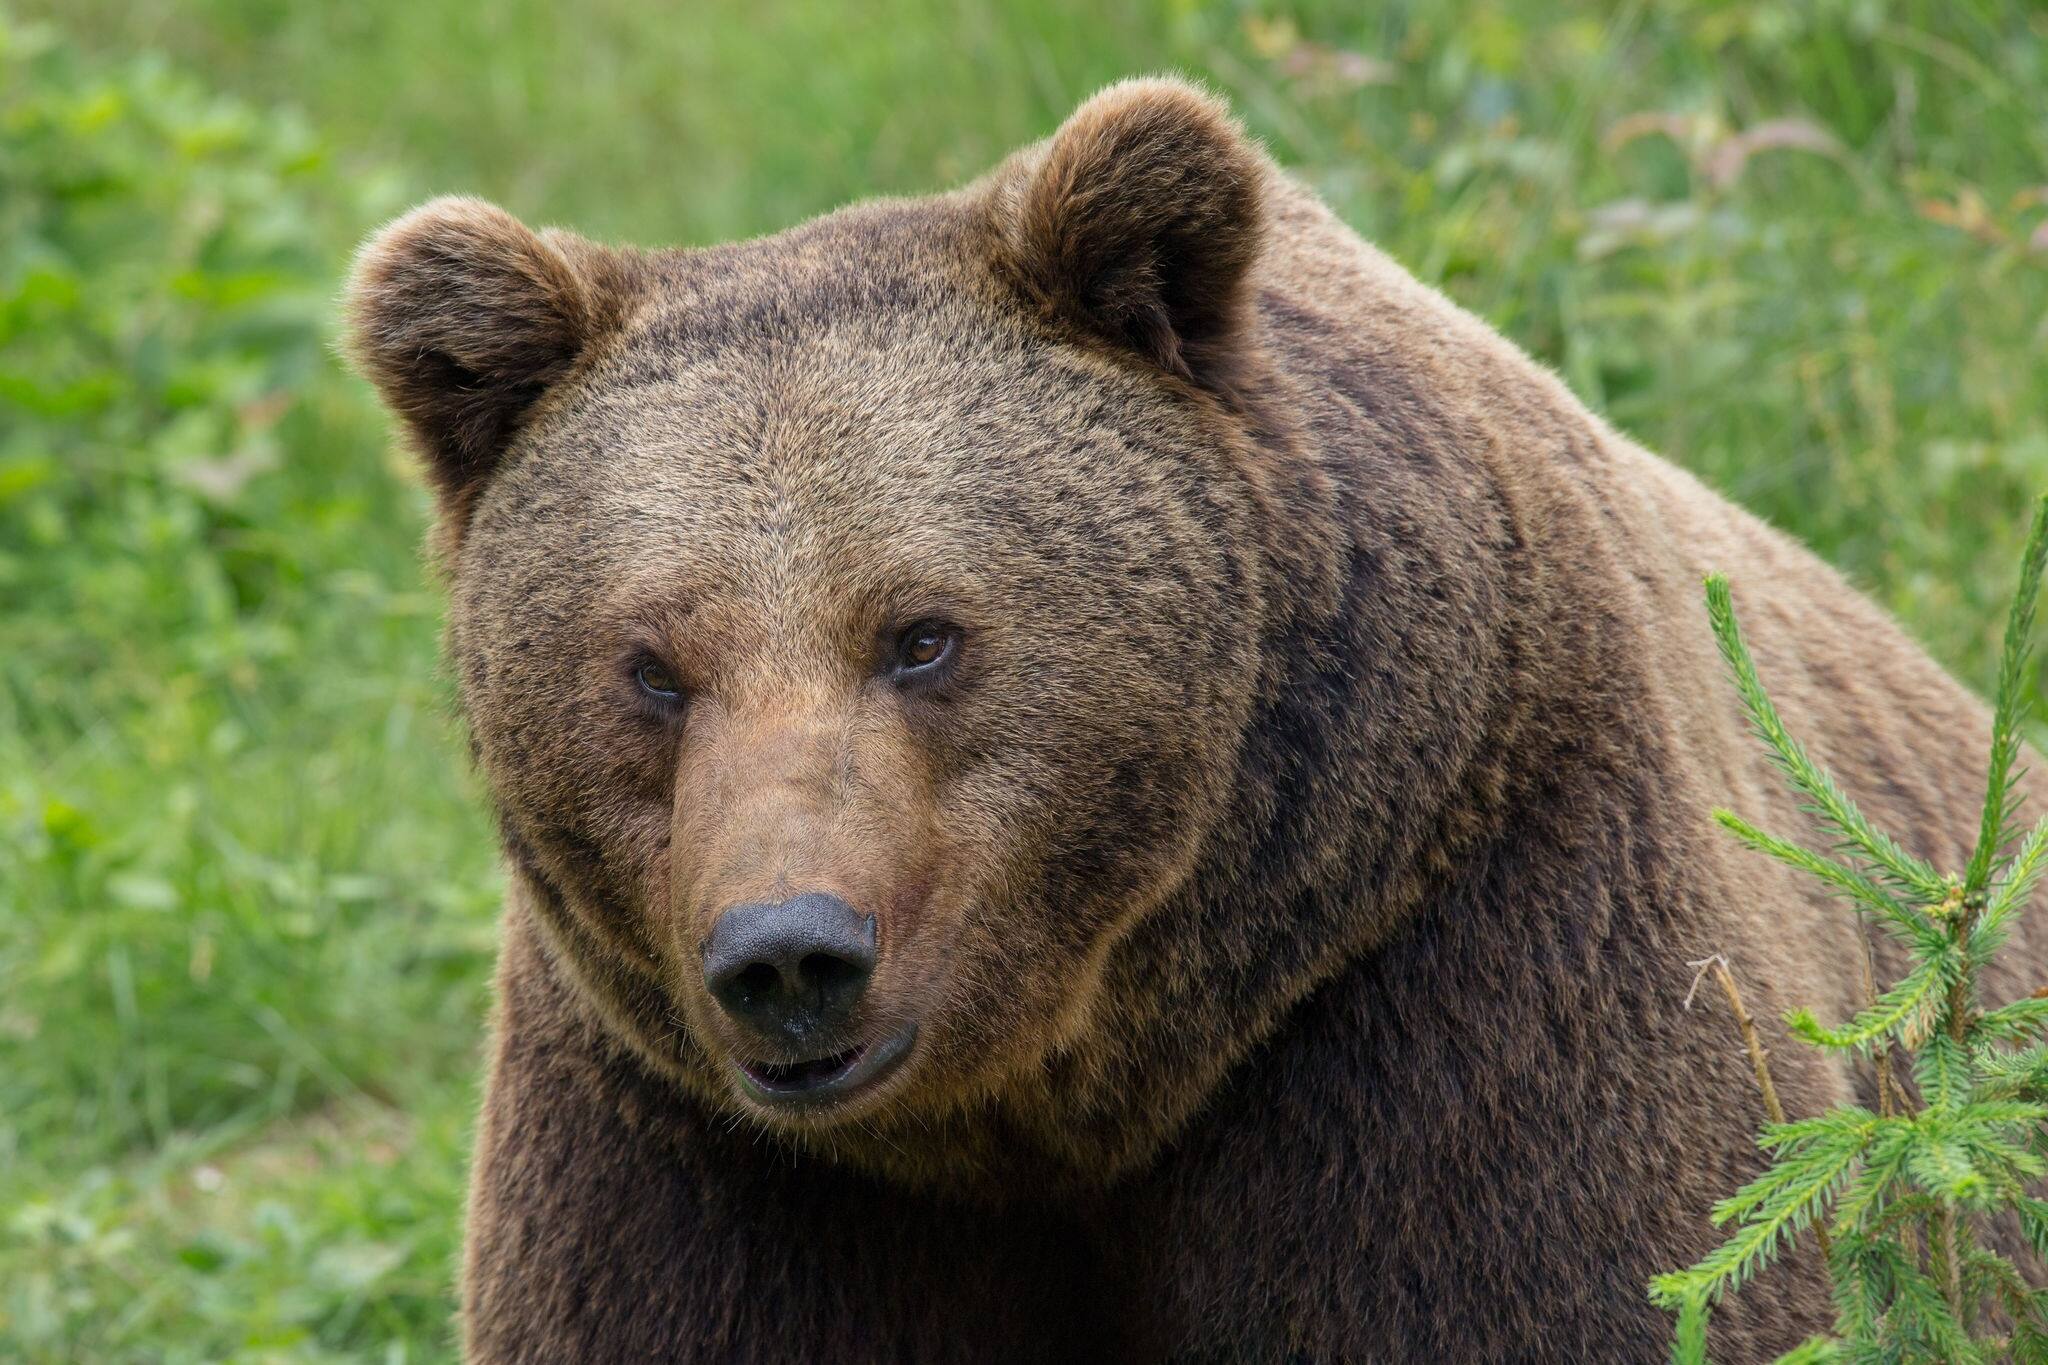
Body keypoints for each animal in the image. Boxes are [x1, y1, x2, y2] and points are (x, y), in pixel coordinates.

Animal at [344, 78, 2046, 1362]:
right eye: (651, 665)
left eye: (921, 634)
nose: (789, 957)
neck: (1077, 1091)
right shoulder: (701, 1156)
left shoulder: (1465, 965)